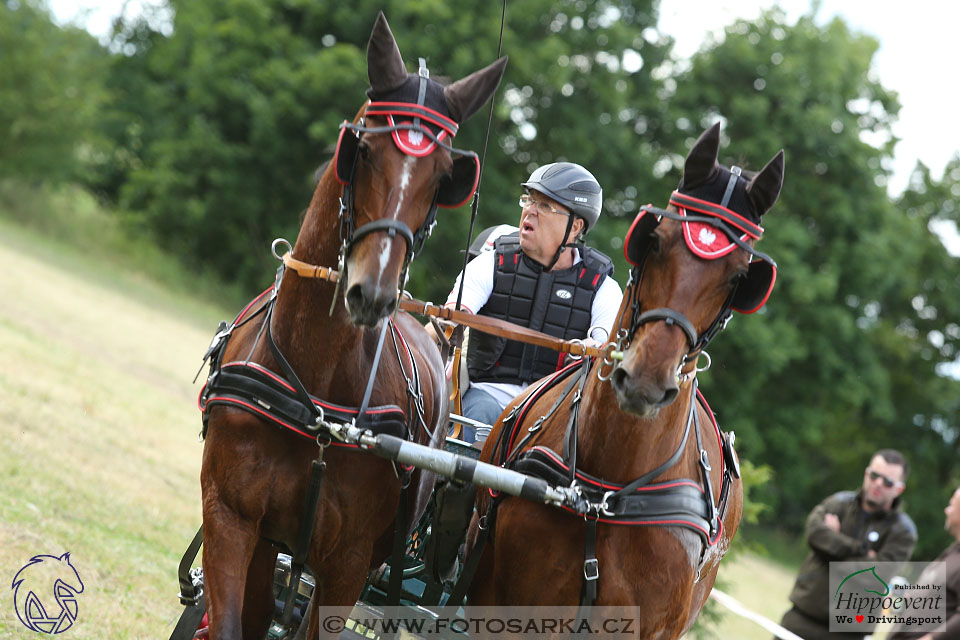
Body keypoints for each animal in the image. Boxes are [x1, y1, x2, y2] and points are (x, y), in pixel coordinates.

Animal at [197, 12, 510, 636]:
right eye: (361, 150)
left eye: (443, 177)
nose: (374, 293)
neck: (313, 386)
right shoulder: (233, 518)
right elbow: (232, 620)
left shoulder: (346, 561)